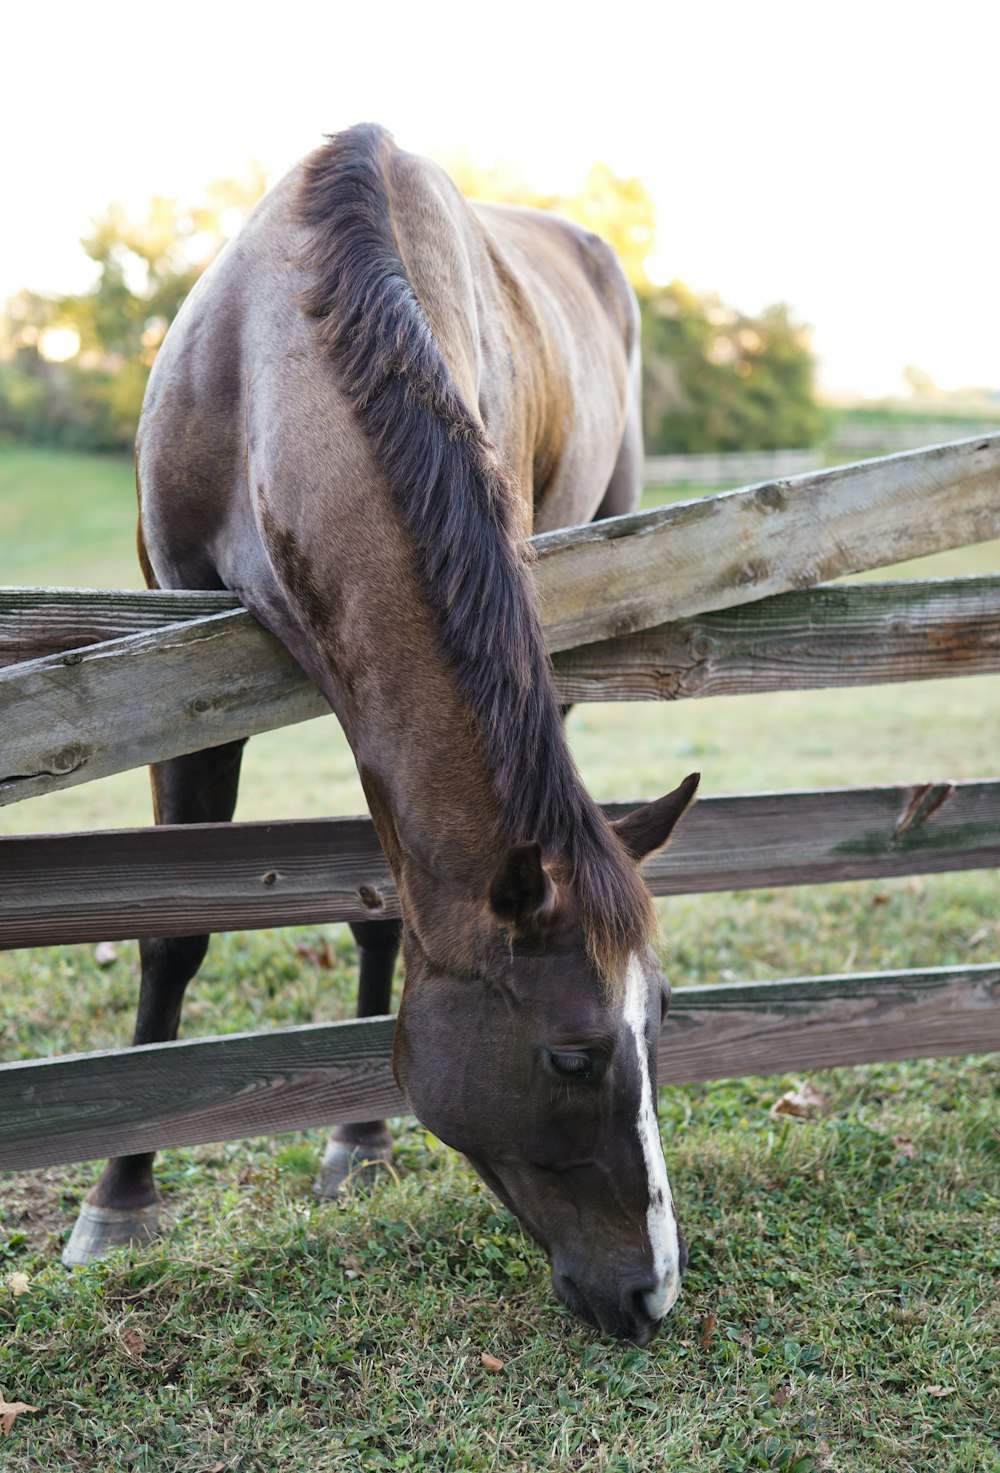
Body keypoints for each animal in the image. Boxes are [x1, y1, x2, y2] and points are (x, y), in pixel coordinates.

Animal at [62, 126, 701, 1349]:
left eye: (660, 1022)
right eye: (573, 1055)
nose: (653, 1292)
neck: (271, 362)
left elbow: (382, 916)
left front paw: (357, 1138)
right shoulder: (173, 661)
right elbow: (171, 939)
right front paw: (119, 1200)